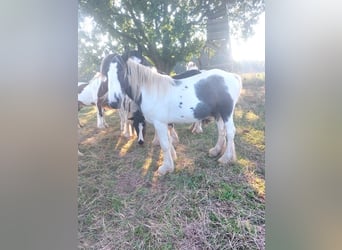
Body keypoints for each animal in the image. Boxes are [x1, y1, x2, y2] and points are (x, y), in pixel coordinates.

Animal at [105, 54, 242, 176]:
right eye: (106, 75)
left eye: (121, 72)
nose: (114, 102)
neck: (152, 91)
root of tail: (233, 76)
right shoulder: (164, 123)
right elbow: (169, 140)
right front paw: (173, 159)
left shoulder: (159, 123)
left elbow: (164, 144)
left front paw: (165, 168)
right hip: (218, 113)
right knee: (222, 131)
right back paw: (216, 151)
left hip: (226, 112)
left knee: (230, 132)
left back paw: (225, 158)